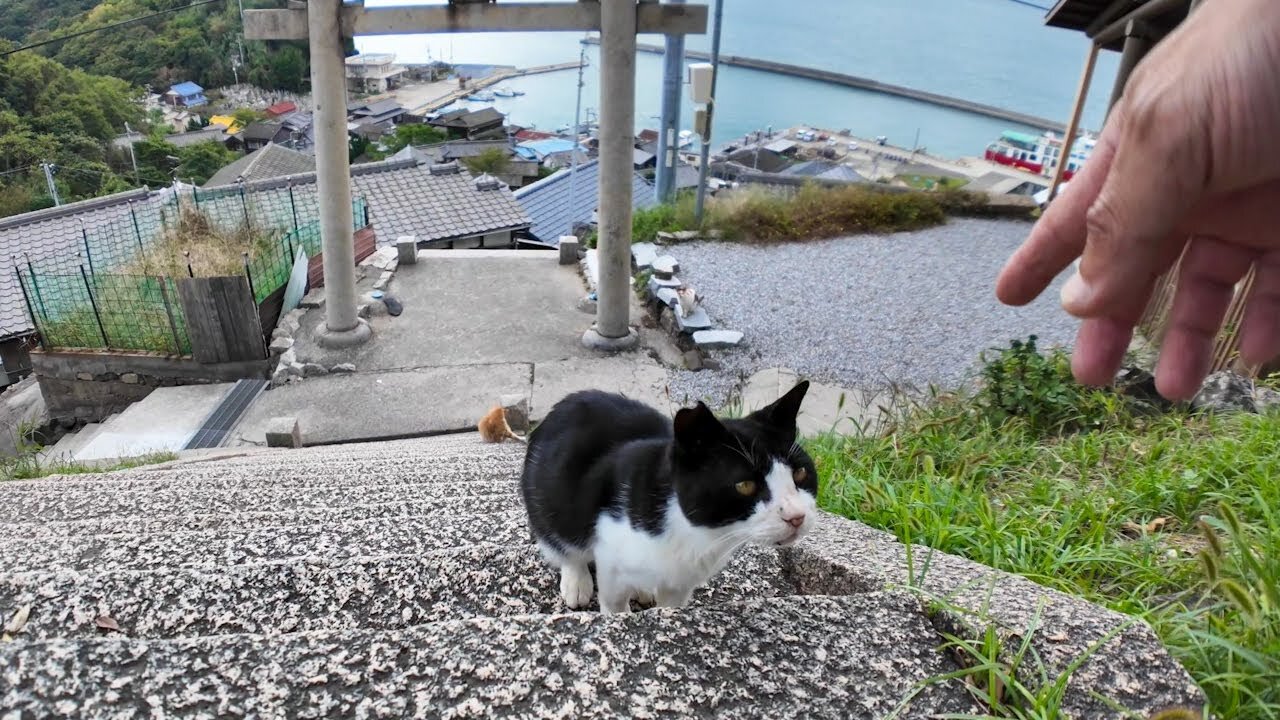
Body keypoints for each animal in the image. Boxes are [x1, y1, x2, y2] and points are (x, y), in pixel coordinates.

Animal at [519, 381, 819, 609]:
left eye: (801, 473)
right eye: (745, 485)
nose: (796, 516)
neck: (700, 535)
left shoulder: (681, 583)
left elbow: (670, 605)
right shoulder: (611, 557)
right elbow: (614, 603)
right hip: (548, 498)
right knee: (562, 541)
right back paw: (577, 581)